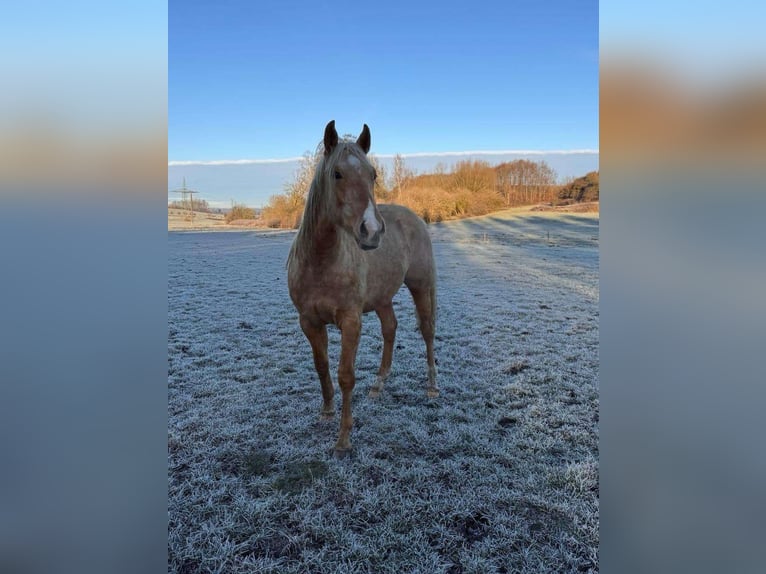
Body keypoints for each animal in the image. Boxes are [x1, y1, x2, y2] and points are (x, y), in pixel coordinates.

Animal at [286, 120, 438, 460]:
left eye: (373, 174)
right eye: (337, 174)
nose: (372, 231)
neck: (321, 261)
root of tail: (413, 217)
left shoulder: (351, 321)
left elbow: (346, 375)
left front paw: (343, 439)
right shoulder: (309, 322)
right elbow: (321, 366)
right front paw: (327, 411)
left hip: (421, 286)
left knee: (428, 331)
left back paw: (433, 386)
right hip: (382, 299)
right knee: (390, 329)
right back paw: (379, 384)